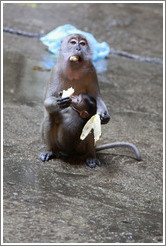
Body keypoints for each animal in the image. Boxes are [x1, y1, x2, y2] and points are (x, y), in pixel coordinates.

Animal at [40, 33, 141, 167]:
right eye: (73, 42)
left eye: (82, 43)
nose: (78, 48)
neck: (74, 70)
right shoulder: (56, 70)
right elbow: (48, 100)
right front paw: (58, 102)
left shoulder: (92, 70)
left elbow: (96, 97)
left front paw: (105, 116)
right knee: (50, 116)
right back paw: (51, 151)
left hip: (80, 147)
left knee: (91, 120)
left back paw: (91, 155)